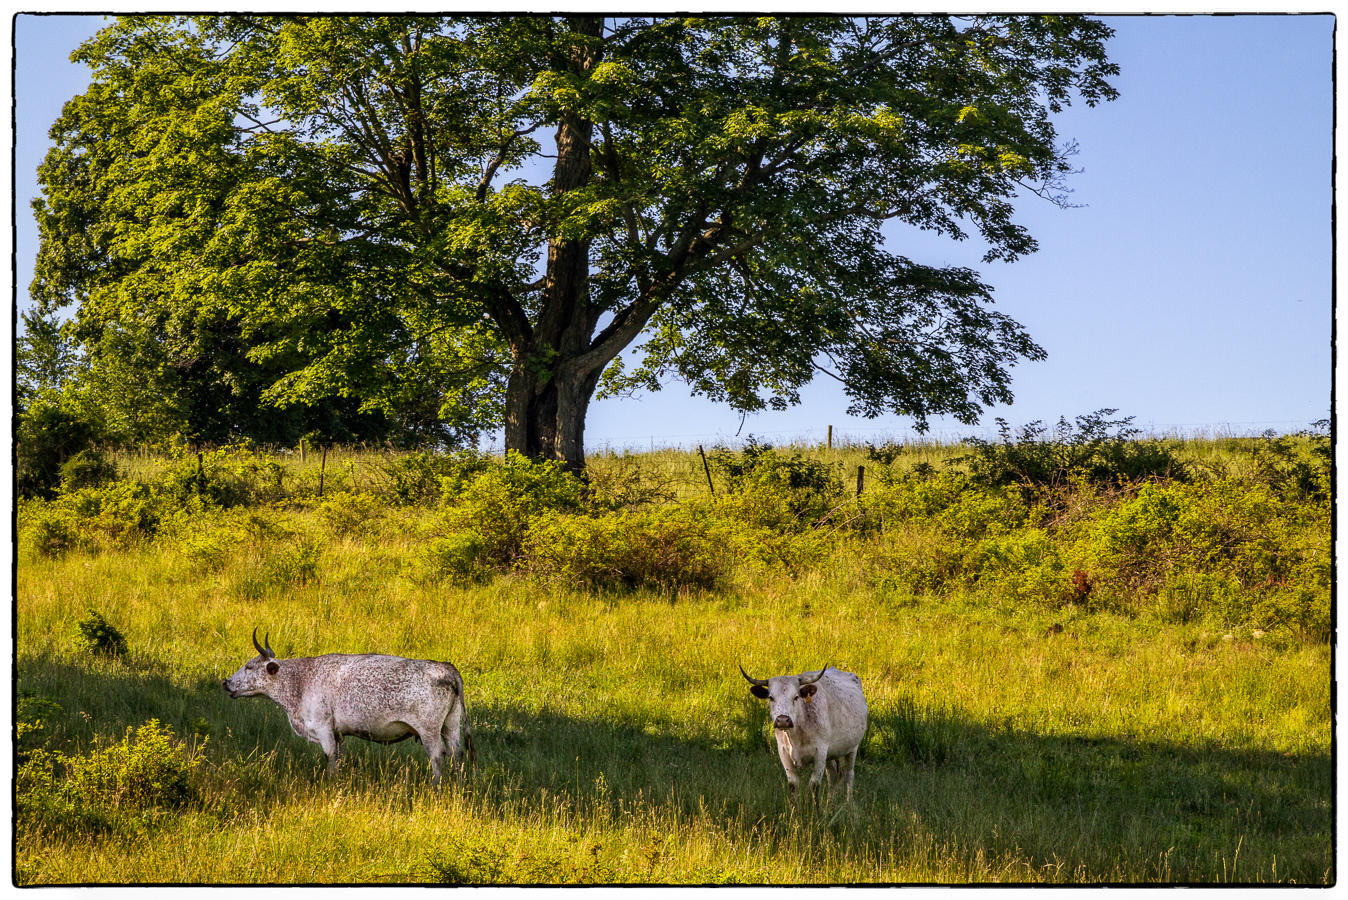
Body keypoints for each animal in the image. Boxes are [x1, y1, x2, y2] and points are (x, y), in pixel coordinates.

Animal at [223, 630, 471, 781]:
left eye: (249, 667)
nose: (226, 682)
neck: (300, 681)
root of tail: (447, 668)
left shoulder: (323, 727)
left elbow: (330, 757)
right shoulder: (337, 733)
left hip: (429, 730)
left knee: (437, 755)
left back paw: (436, 787)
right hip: (451, 725)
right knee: (457, 753)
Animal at [744, 665, 868, 802]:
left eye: (796, 697)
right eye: (771, 698)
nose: (783, 720)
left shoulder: (820, 752)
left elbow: (814, 784)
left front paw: (816, 808)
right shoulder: (783, 752)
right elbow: (793, 784)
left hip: (852, 748)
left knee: (849, 775)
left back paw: (849, 804)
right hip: (830, 754)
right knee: (832, 776)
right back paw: (830, 802)